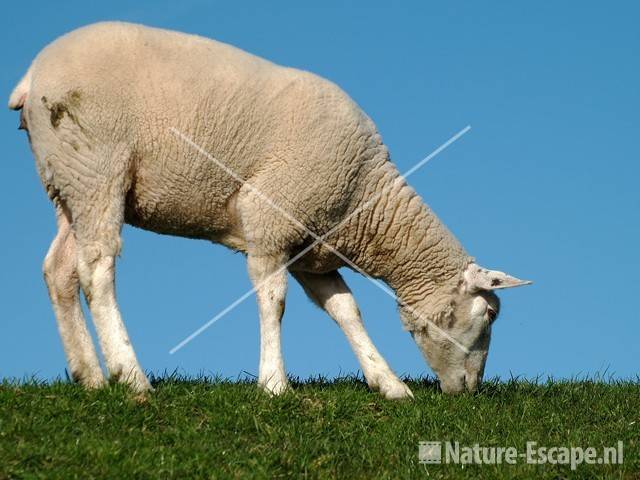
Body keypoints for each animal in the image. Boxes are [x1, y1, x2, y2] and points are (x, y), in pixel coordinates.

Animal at [8, 21, 528, 398]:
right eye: (490, 316)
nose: (470, 391)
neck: (366, 201)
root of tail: (32, 76)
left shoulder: (310, 249)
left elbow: (346, 311)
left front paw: (389, 385)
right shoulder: (271, 220)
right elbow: (273, 301)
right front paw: (275, 385)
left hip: (67, 179)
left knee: (59, 269)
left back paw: (90, 377)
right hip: (98, 166)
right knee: (96, 268)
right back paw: (130, 376)